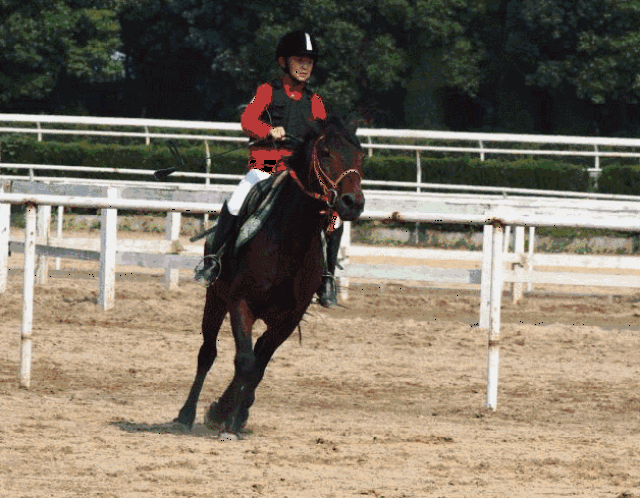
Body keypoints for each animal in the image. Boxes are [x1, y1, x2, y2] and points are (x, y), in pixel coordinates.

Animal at [174, 115, 365, 435]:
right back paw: (185, 414)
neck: (291, 241)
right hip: (215, 298)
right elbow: (245, 361)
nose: (353, 202)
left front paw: (232, 415)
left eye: (361, 156)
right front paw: (226, 417)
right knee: (207, 353)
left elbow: (258, 367)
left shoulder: (288, 319)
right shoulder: (240, 304)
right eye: (326, 153)